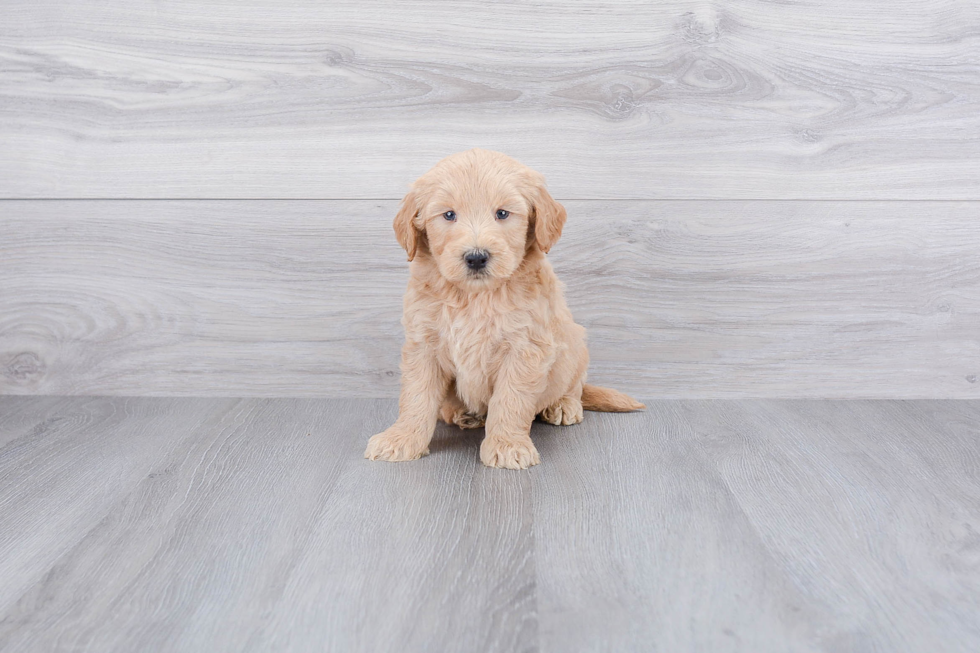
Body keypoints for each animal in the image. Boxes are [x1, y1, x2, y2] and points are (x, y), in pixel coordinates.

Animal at [364, 148, 648, 468]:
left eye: (502, 213)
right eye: (449, 215)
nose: (476, 257)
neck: (475, 296)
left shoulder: (526, 347)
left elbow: (510, 399)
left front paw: (507, 445)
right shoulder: (423, 344)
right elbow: (416, 396)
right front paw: (401, 438)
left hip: (574, 343)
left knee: (575, 385)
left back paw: (563, 405)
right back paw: (463, 413)